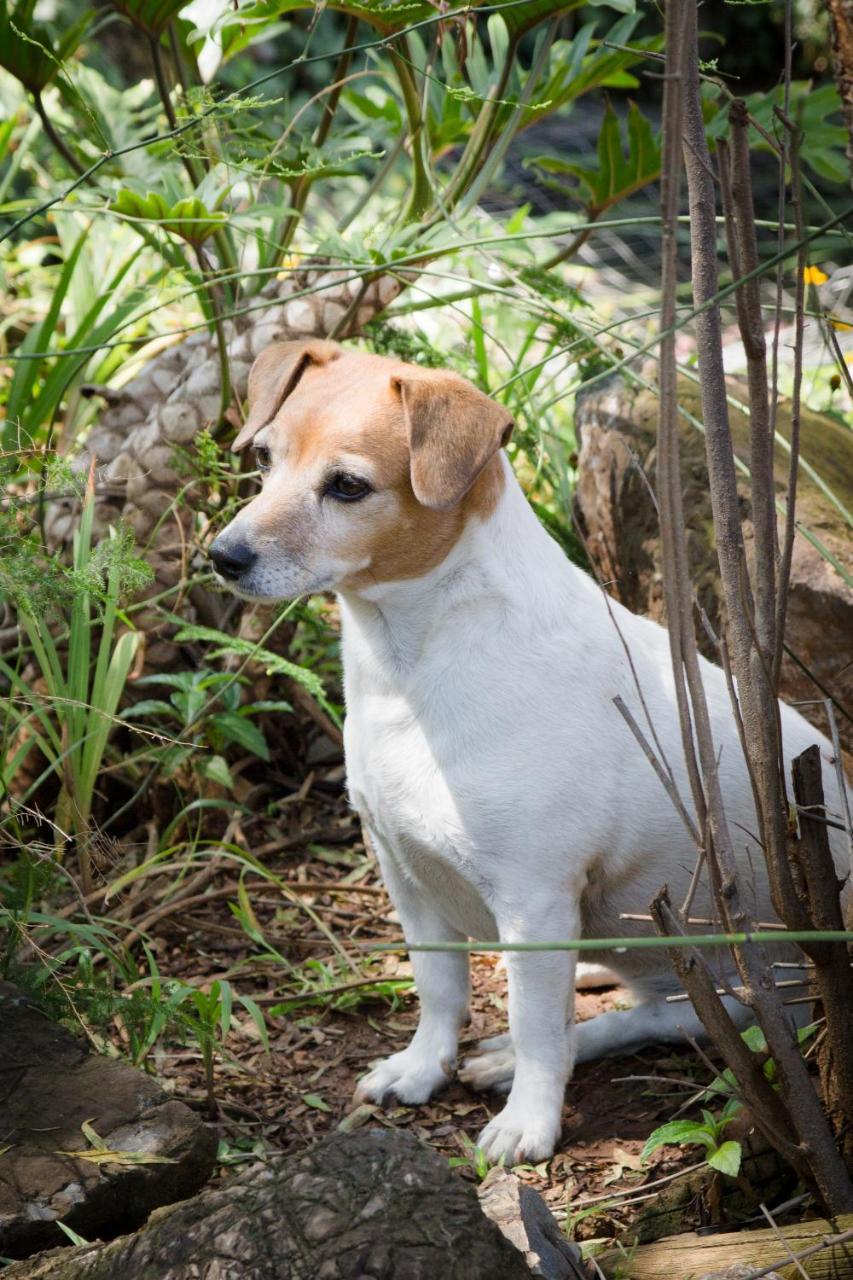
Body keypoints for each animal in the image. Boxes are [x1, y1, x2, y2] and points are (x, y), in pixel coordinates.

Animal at [208, 340, 845, 1172]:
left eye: (347, 486)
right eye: (263, 458)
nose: (222, 556)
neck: (413, 665)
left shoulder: (533, 896)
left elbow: (540, 1029)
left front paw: (529, 1122)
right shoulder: (404, 872)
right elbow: (438, 988)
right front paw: (422, 1068)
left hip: (748, 994)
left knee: (647, 1020)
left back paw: (520, 1056)